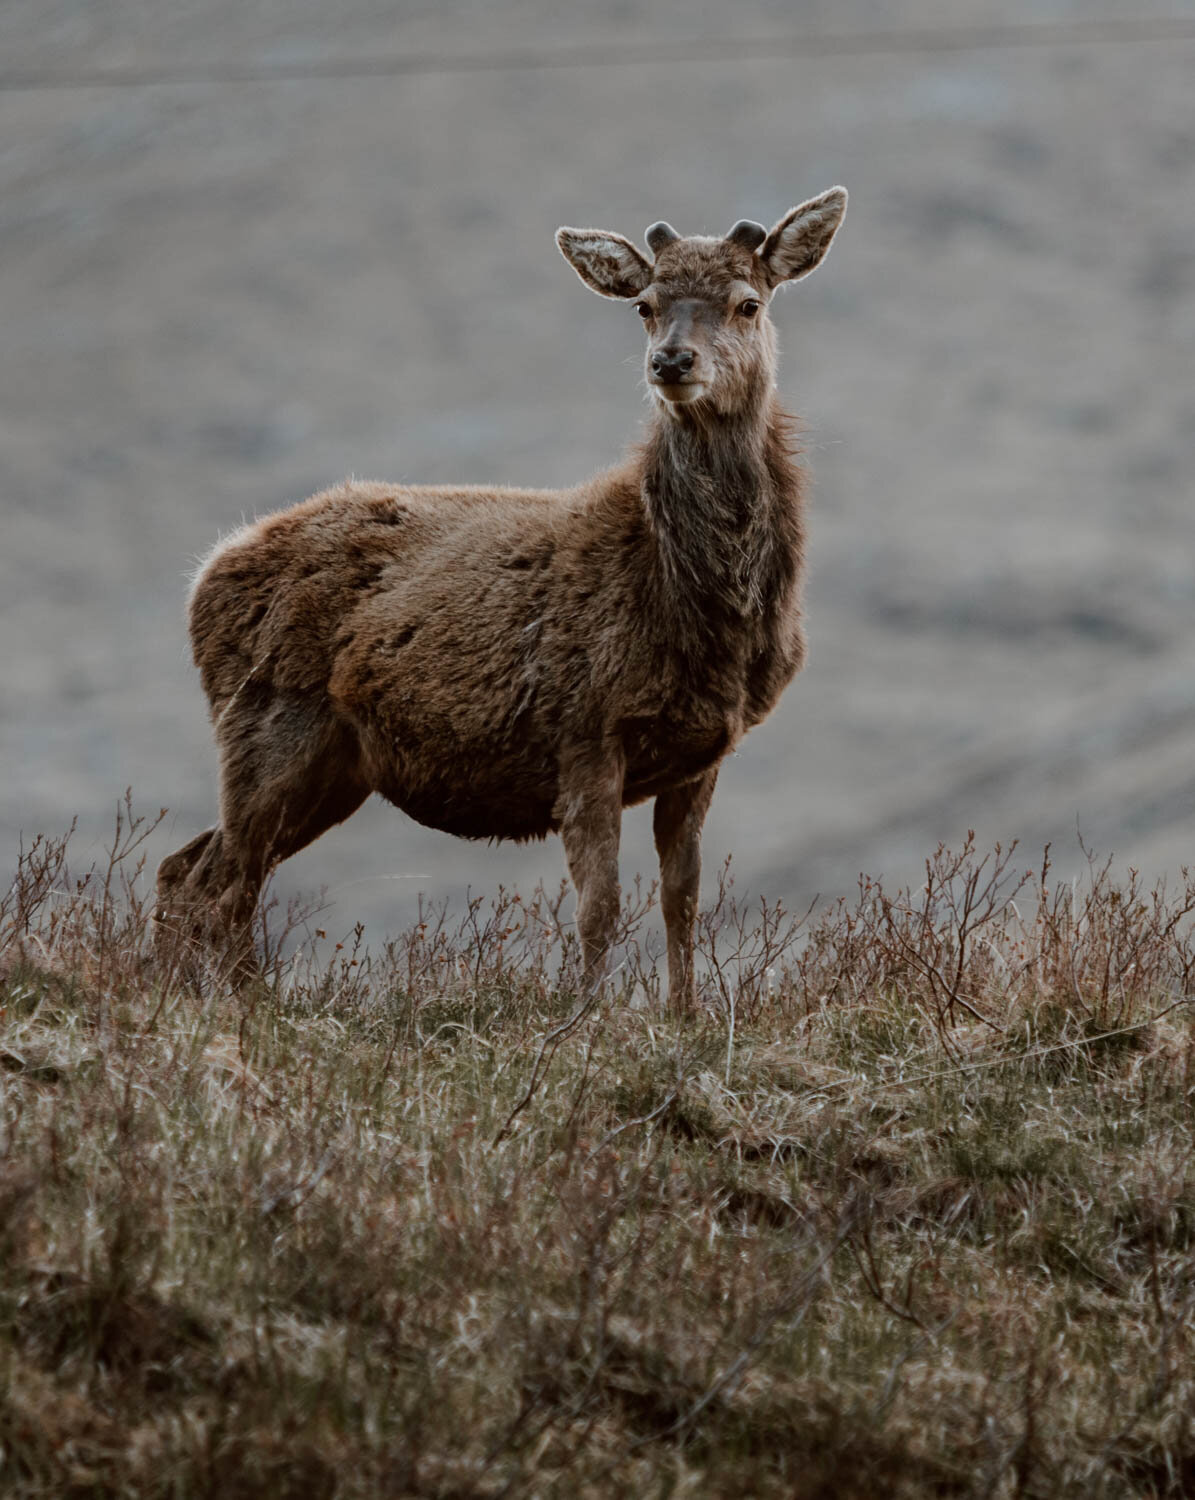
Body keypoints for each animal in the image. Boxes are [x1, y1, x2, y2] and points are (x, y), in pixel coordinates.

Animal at [155, 184, 845, 1008]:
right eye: (644, 305)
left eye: (747, 302)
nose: (671, 361)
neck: (695, 609)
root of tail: (203, 576)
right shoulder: (584, 723)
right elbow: (600, 904)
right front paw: (585, 1018)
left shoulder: (701, 750)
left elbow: (682, 898)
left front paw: (685, 1016)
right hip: (267, 722)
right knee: (220, 883)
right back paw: (239, 1006)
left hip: (332, 766)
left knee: (189, 868)